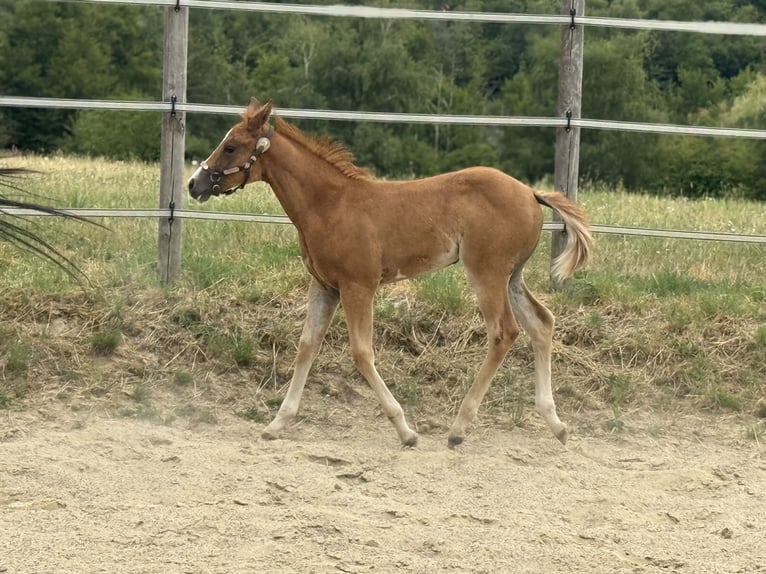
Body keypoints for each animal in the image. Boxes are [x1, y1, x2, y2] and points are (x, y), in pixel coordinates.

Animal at [188, 98, 592, 448]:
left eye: (231, 147)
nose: (194, 184)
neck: (330, 205)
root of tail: (529, 192)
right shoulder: (324, 286)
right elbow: (307, 346)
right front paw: (276, 424)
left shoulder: (358, 286)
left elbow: (361, 352)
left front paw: (405, 430)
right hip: (512, 276)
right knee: (541, 322)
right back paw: (555, 424)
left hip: (487, 272)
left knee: (503, 332)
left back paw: (459, 428)